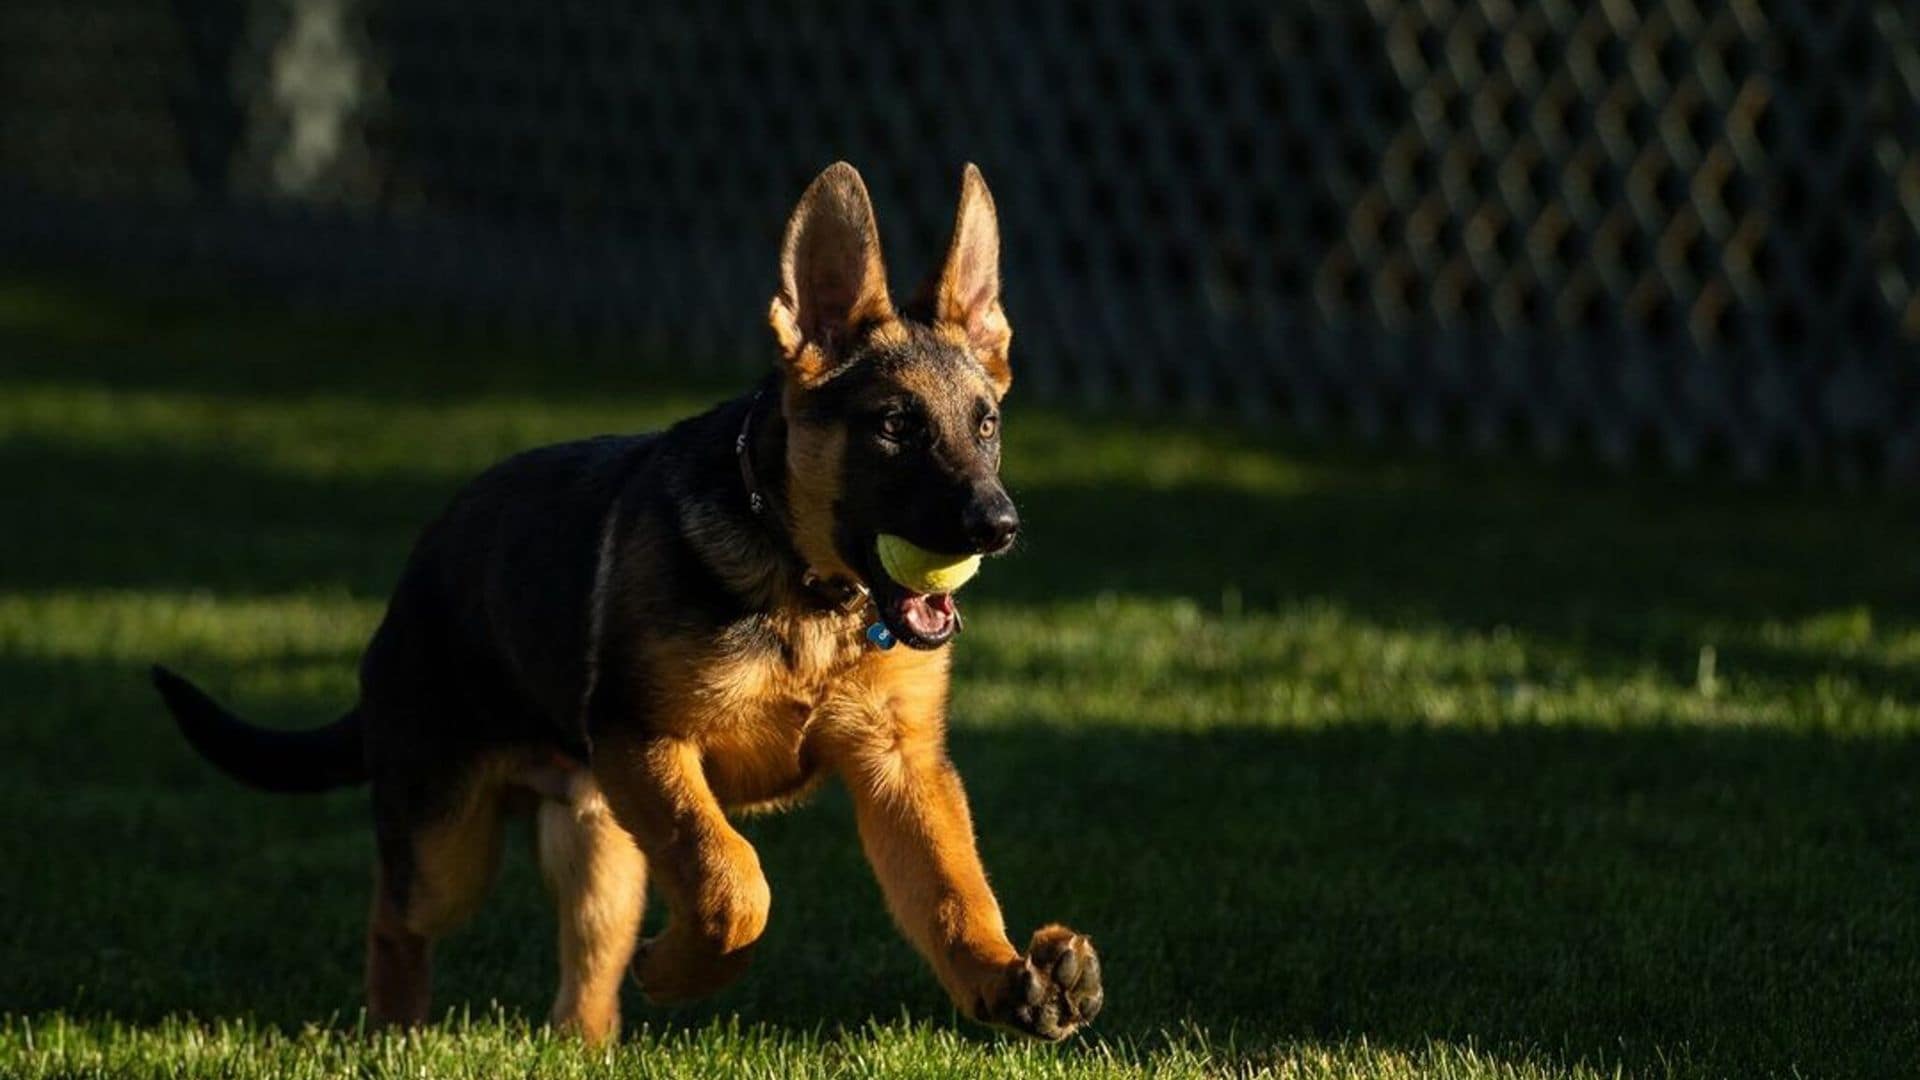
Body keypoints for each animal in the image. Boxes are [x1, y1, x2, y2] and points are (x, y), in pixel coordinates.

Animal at [149, 161, 1105, 1045]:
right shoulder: (649, 742)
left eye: (986, 425)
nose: (999, 526)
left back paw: (585, 1041)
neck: (806, 592)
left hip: (599, 842)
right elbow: (735, 878)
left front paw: (1006, 978)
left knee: (587, 966)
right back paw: (395, 1030)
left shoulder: (900, 767)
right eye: (896, 426)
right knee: (396, 916)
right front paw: (682, 970)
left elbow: (951, 890)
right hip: (448, 840)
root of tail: (413, 580)